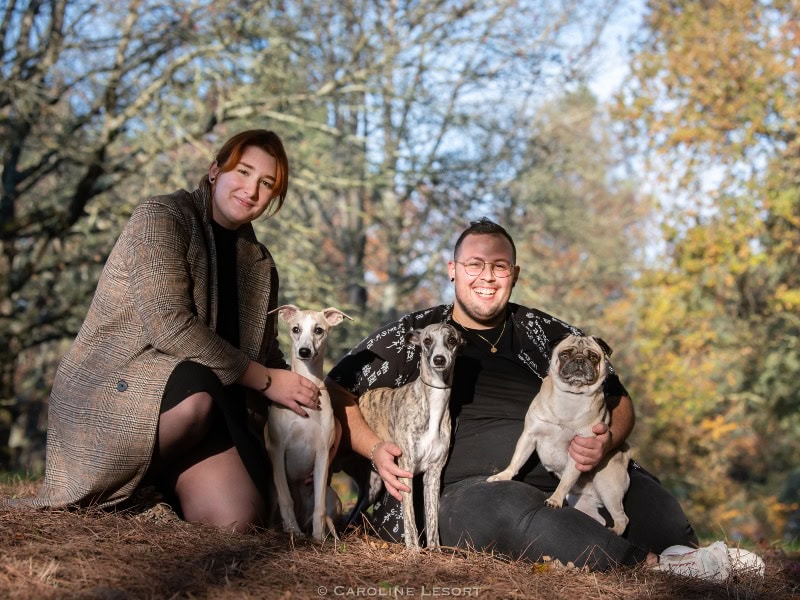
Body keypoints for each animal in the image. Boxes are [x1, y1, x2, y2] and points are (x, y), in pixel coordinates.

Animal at [488, 332, 632, 536]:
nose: (579, 360)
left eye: (593, 357)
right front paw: (504, 476)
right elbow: (517, 461)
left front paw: (555, 500)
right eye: (565, 354)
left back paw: (615, 531)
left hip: (608, 487)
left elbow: (564, 482)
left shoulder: (579, 452)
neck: (571, 397)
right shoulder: (529, 436)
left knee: (622, 517)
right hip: (583, 500)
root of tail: (624, 456)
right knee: (597, 519)